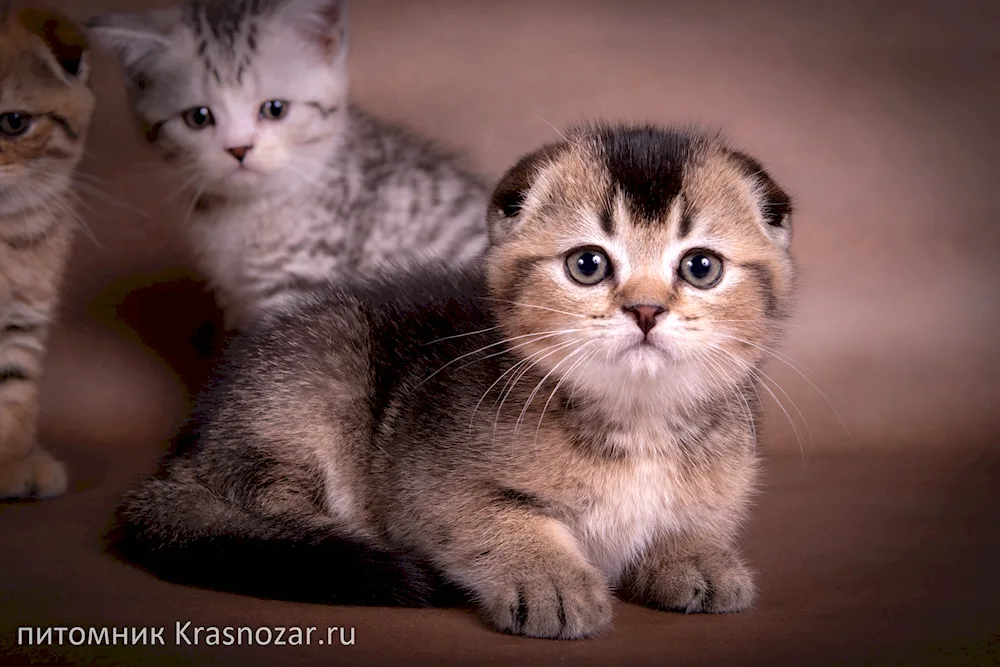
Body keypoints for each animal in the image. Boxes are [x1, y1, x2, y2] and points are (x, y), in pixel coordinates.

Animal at [90, 0, 488, 334]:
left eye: (274, 109)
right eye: (198, 117)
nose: (238, 148)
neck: (243, 215)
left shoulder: (301, 284)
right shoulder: (237, 295)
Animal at [111, 122, 796, 640]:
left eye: (701, 267)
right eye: (588, 264)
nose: (647, 310)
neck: (636, 424)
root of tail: (184, 453)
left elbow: (687, 522)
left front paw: (696, 557)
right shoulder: (427, 483)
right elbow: (494, 517)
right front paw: (548, 578)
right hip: (316, 376)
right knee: (266, 509)